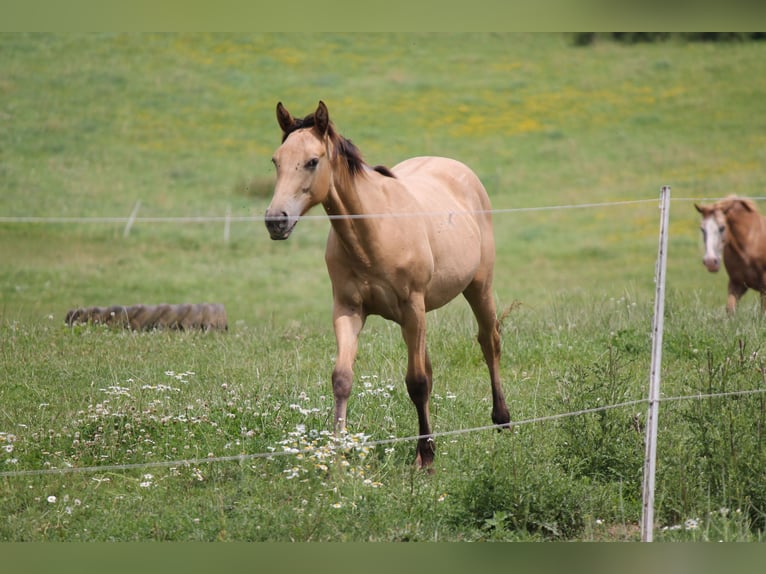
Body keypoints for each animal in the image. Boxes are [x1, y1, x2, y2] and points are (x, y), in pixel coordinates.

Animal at [264, 101, 510, 470]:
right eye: (276, 160)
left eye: (312, 161)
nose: (275, 220)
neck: (374, 232)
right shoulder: (349, 310)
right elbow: (342, 378)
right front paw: (338, 459)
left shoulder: (412, 307)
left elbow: (417, 383)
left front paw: (426, 458)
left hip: (478, 288)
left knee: (488, 342)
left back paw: (502, 421)